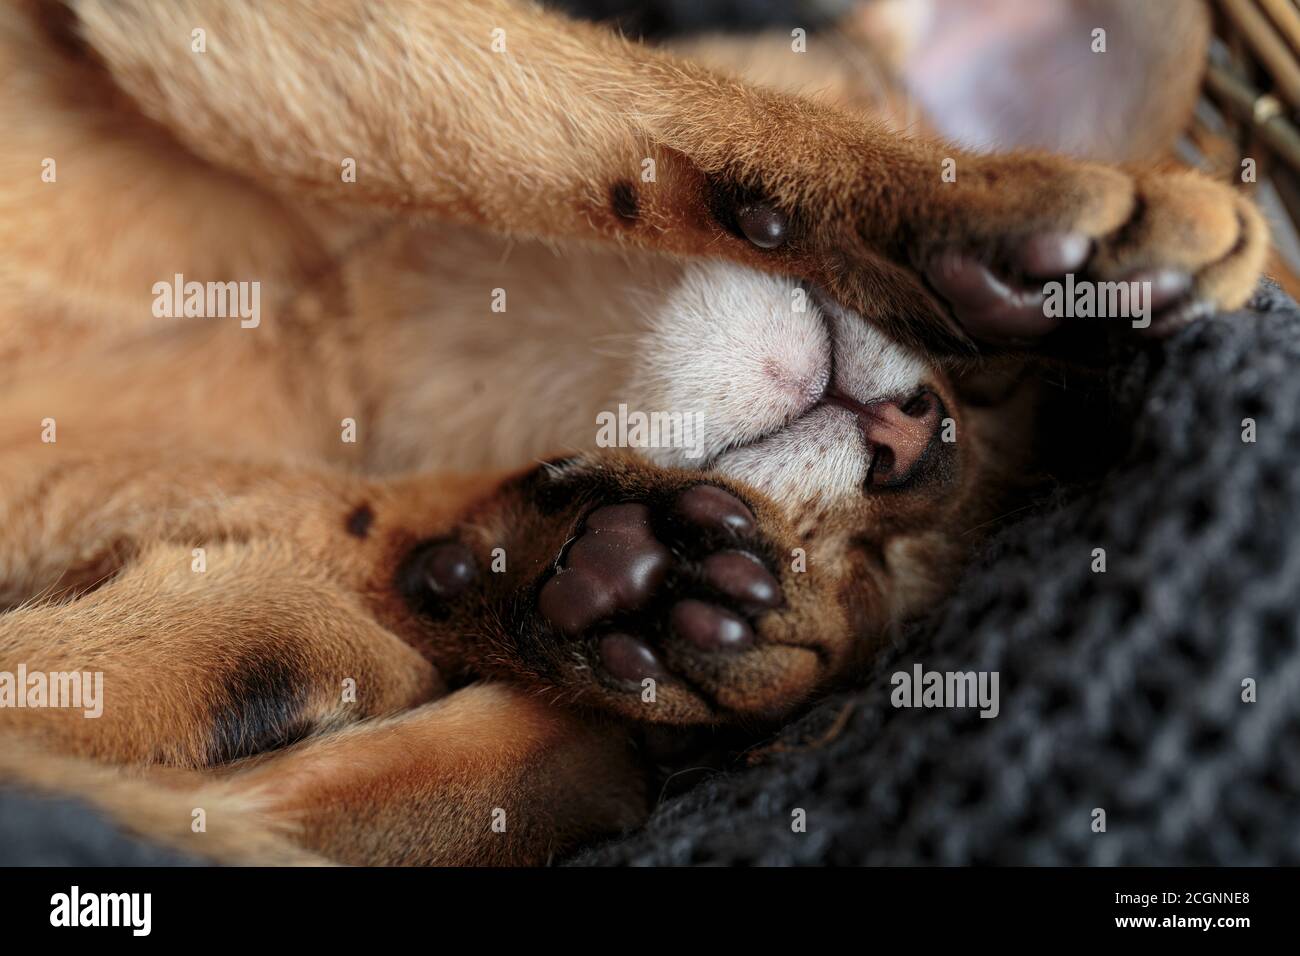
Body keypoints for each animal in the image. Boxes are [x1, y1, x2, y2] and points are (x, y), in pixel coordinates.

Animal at [0, 0, 1263, 868]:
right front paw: (995, 204)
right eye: (981, 380)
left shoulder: (66, 488)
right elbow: (669, 108)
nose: (919, 444)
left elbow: (345, 533)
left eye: (878, 568)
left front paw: (590, 578)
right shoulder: (243, 32)